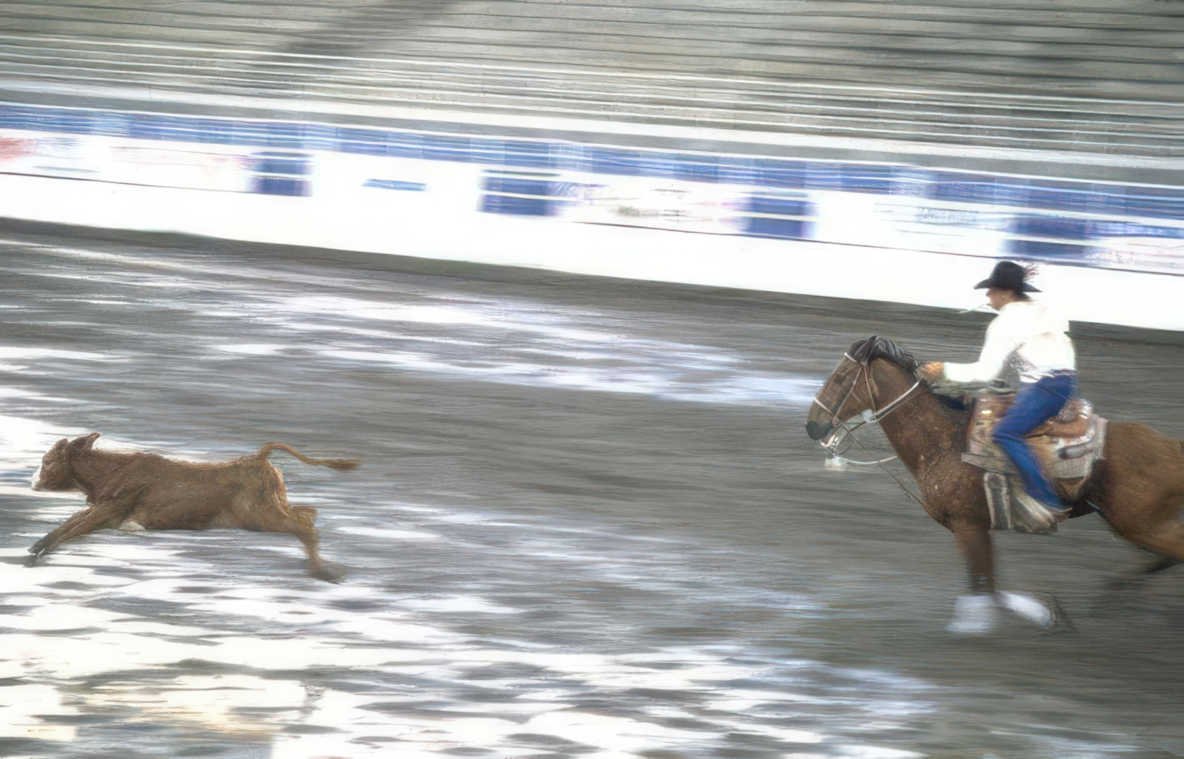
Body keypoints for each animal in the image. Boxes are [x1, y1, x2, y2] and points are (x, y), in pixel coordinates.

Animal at [28, 433, 358, 582]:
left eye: (48, 460)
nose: (33, 480)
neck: (113, 470)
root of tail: (259, 458)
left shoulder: (109, 509)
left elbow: (71, 529)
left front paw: (38, 554)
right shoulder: (103, 511)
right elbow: (69, 524)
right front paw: (35, 549)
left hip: (262, 517)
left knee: (304, 525)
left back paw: (322, 572)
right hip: (272, 510)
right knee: (308, 514)